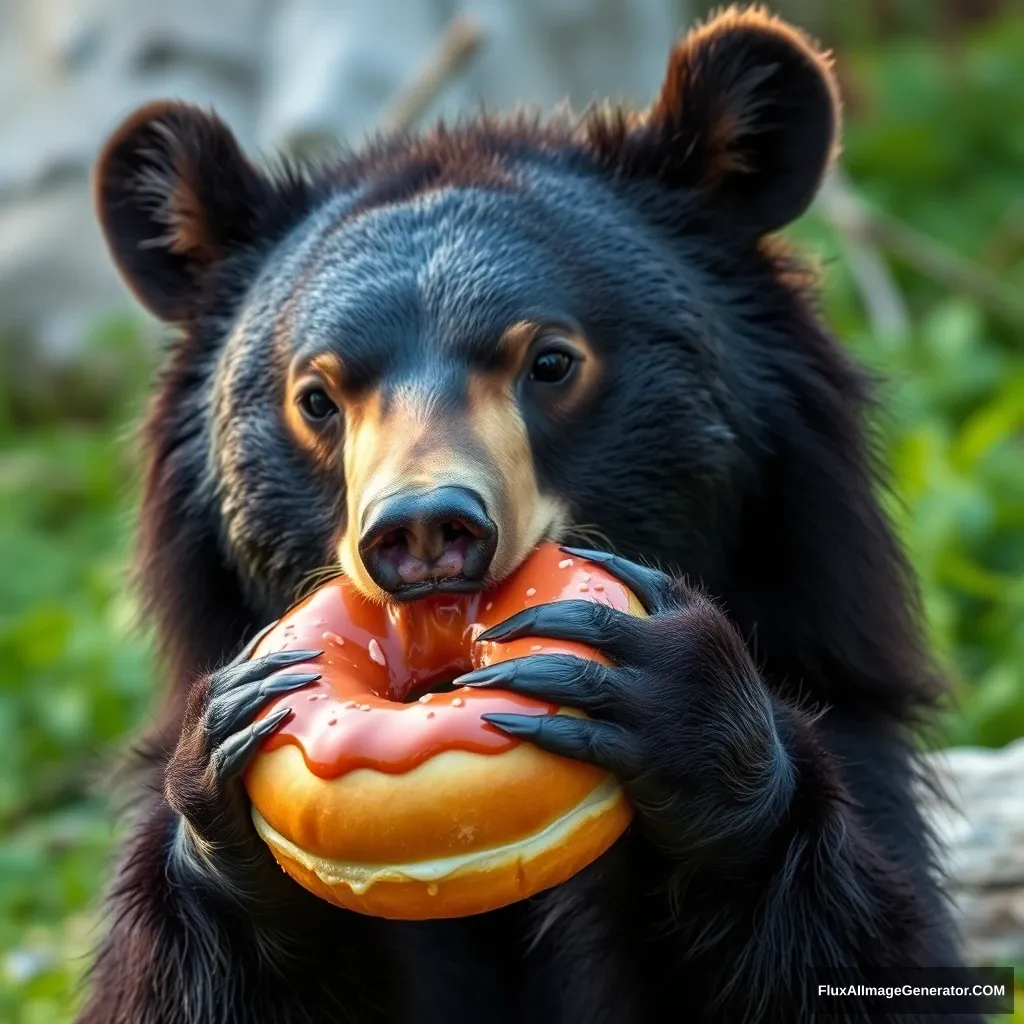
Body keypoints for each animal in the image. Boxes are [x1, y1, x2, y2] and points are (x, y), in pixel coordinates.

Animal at [77, 8, 974, 1024]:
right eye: (316, 398)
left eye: (551, 362)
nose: (425, 530)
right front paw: (224, 753)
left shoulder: (841, 698)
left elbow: (859, 953)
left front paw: (682, 699)